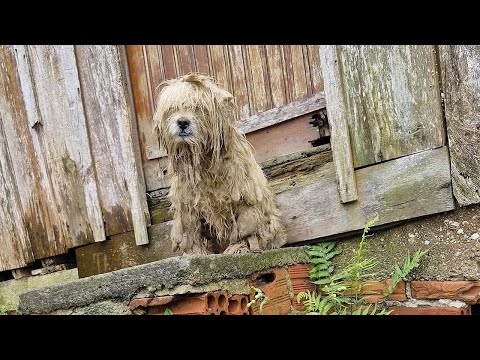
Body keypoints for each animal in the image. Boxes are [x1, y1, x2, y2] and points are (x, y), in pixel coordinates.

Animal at [154, 72, 286, 253]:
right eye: (172, 109)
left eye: (199, 108)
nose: (182, 122)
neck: (204, 161)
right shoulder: (189, 204)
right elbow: (192, 232)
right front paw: (197, 253)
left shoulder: (243, 194)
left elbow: (244, 227)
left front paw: (239, 246)